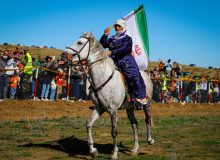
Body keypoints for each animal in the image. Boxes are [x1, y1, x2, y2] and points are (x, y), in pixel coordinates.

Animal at [66, 31, 154, 159]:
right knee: (134, 124)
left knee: (147, 119)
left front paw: (114, 154)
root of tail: (146, 74)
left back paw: (150, 140)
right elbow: (88, 124)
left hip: (147, 105)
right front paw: (93, 151)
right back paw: (135, 149)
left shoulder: (113, 110)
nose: (64, 55)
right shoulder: (99, 108)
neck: (103, 77)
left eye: (80, 42)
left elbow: (114, 132)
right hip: (129, 108)